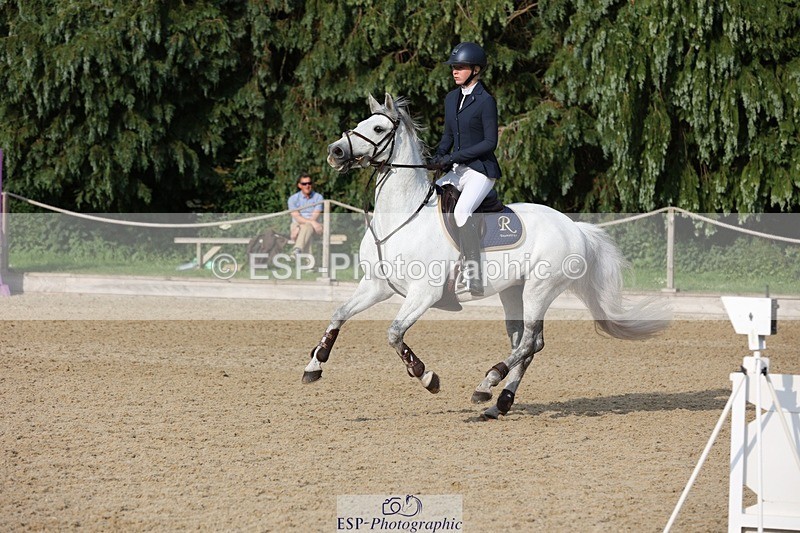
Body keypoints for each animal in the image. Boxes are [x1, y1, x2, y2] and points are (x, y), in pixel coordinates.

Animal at [303, 93, 670, 419]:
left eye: (378, 128)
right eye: (359, 123)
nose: (335, 152)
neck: (403, 217)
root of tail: (574, 227)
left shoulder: (424, 293)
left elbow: (394, 333)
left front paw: (426, 376)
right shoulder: (377, 285)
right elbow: (339, 314)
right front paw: (314, 365)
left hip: (539, 289)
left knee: (527, 344)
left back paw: (487, 383)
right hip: (514, 292)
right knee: (528, 344)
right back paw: (499, 403)